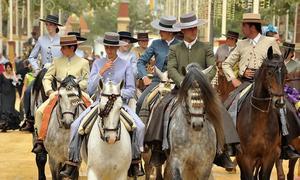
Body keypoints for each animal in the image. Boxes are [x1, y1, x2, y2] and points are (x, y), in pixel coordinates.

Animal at [236, 47, 288, 179]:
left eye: (285, 73)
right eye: (269, 73)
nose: (279, 102)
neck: (260, 118)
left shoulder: (269, 156)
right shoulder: (245, 157)